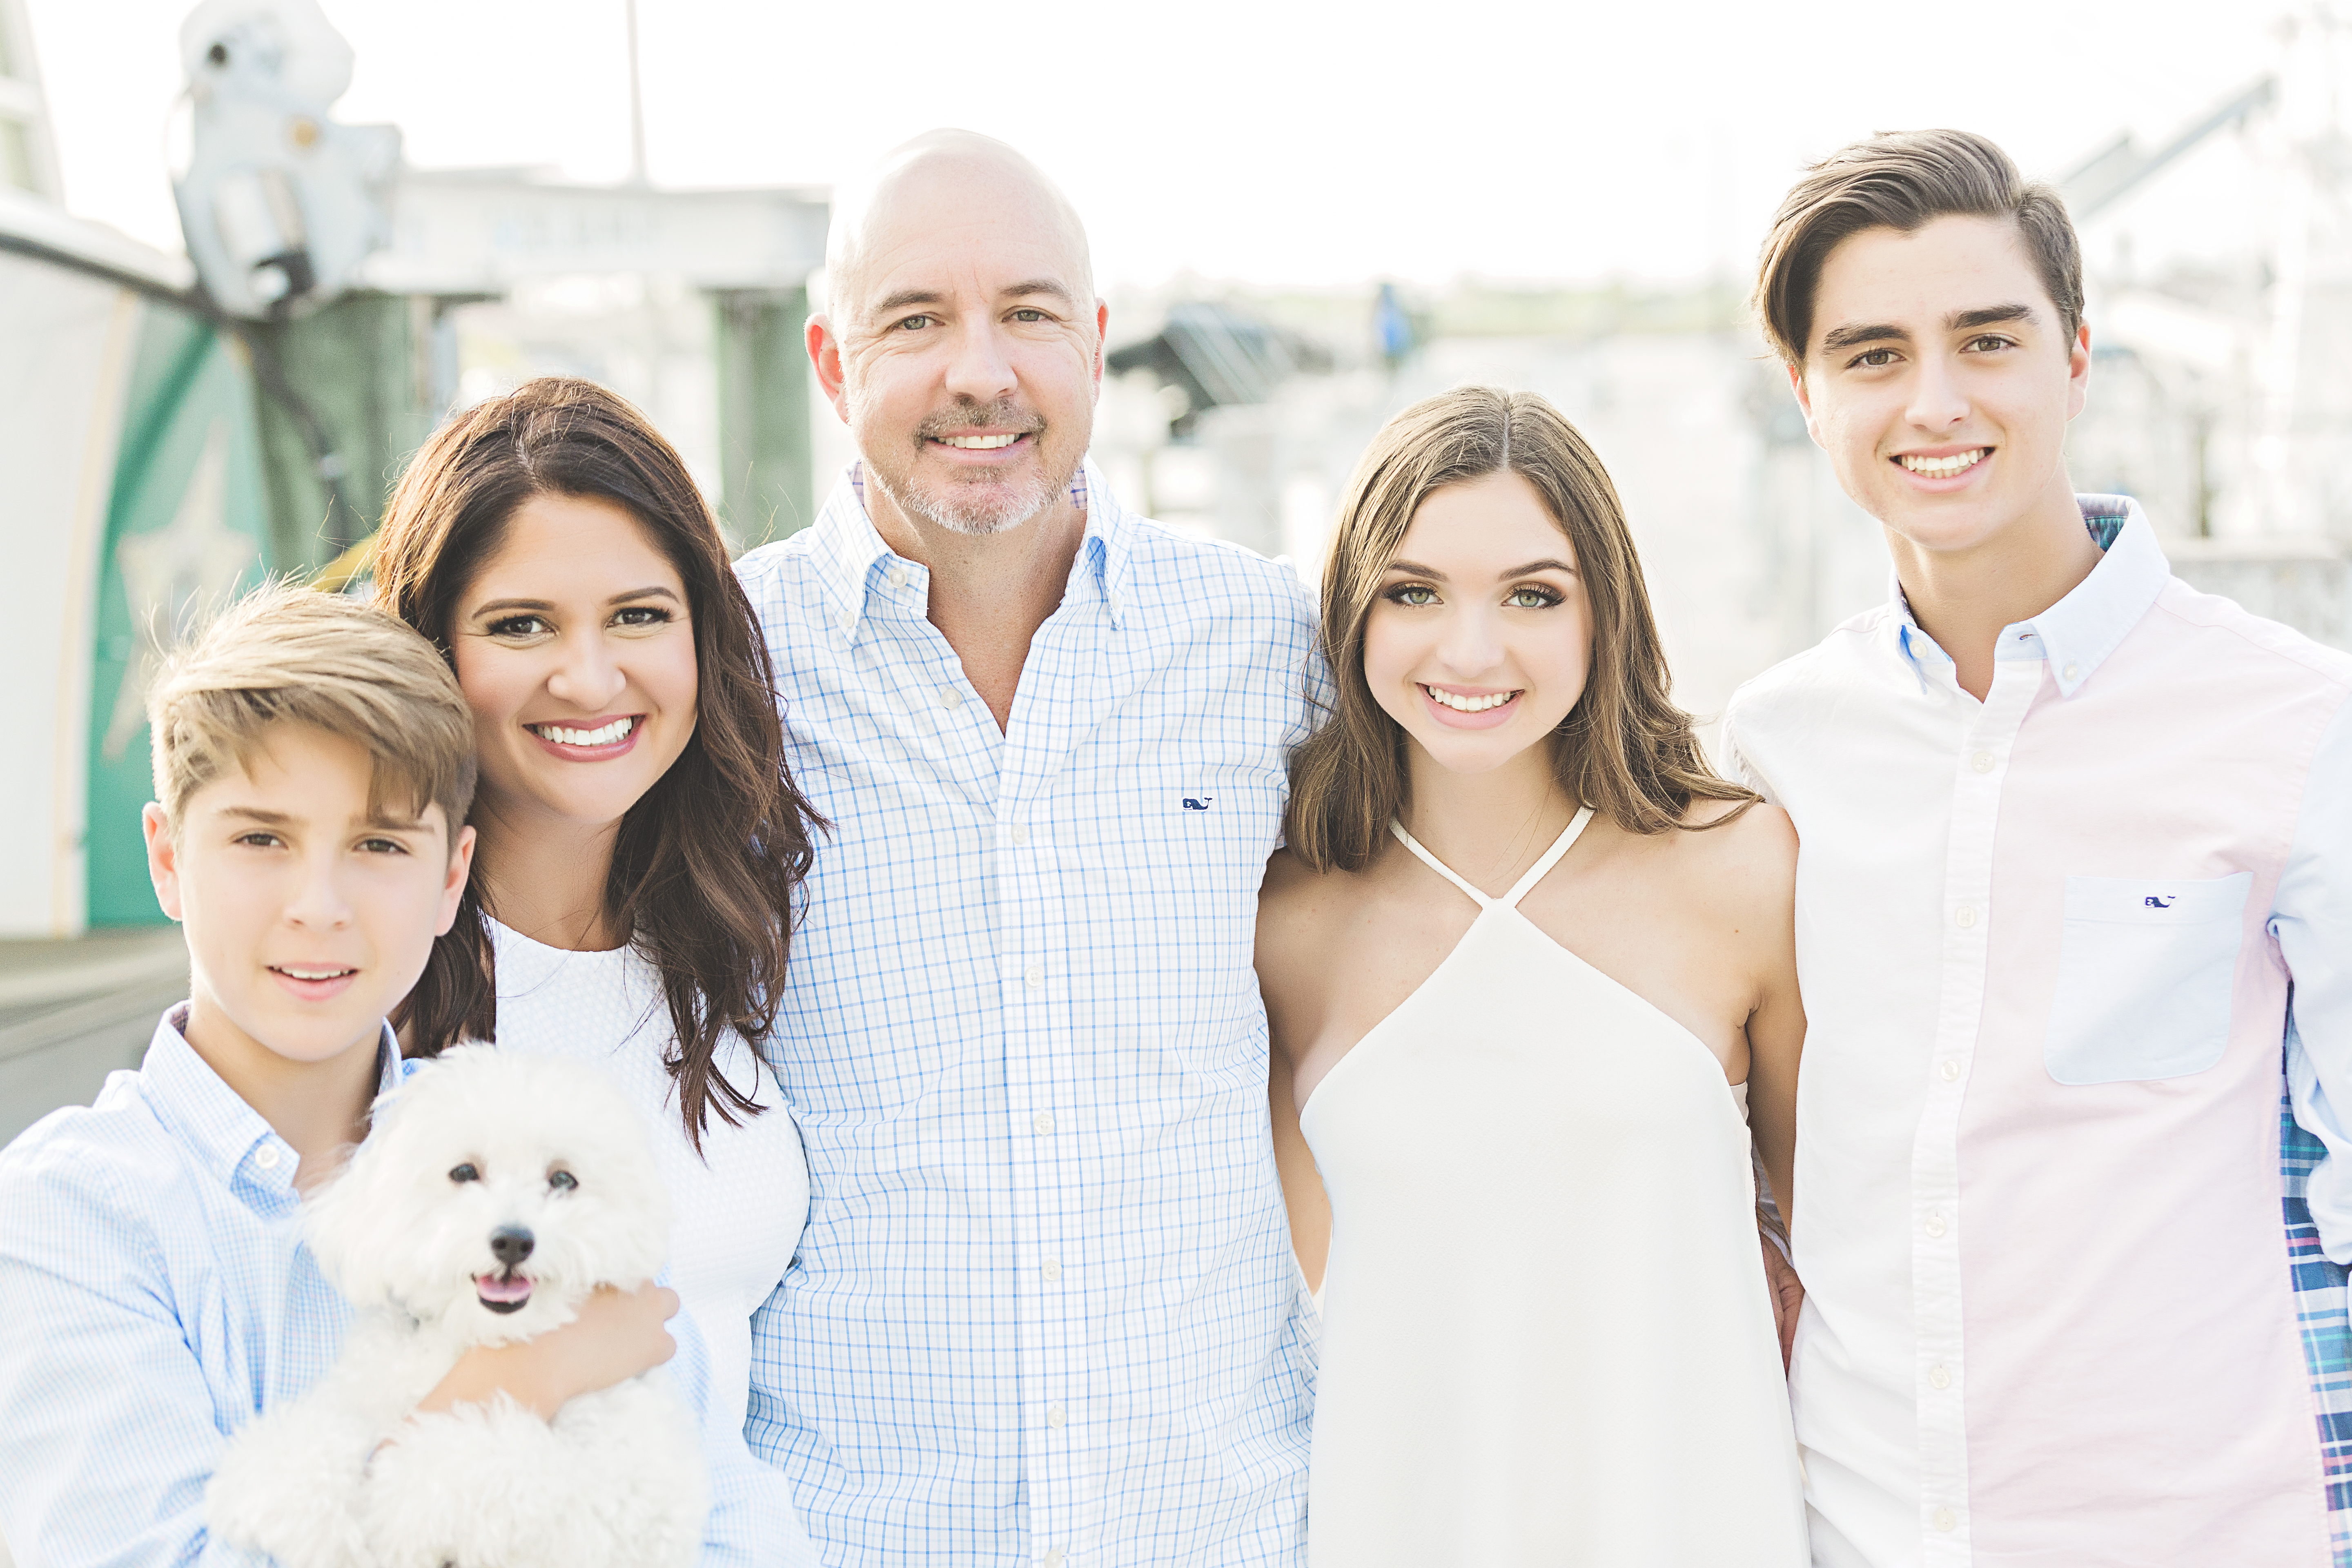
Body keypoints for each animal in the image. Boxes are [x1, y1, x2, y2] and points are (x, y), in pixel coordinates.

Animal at [207, 1044, 701, 1568]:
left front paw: (399, 1490)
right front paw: (272, 1486)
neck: (473, 1339)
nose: (513, 1241)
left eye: (563, 1179)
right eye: (464, 1173)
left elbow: (484, 1467)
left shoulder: (622, 1495)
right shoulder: (366, 1390)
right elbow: (320, 1441)